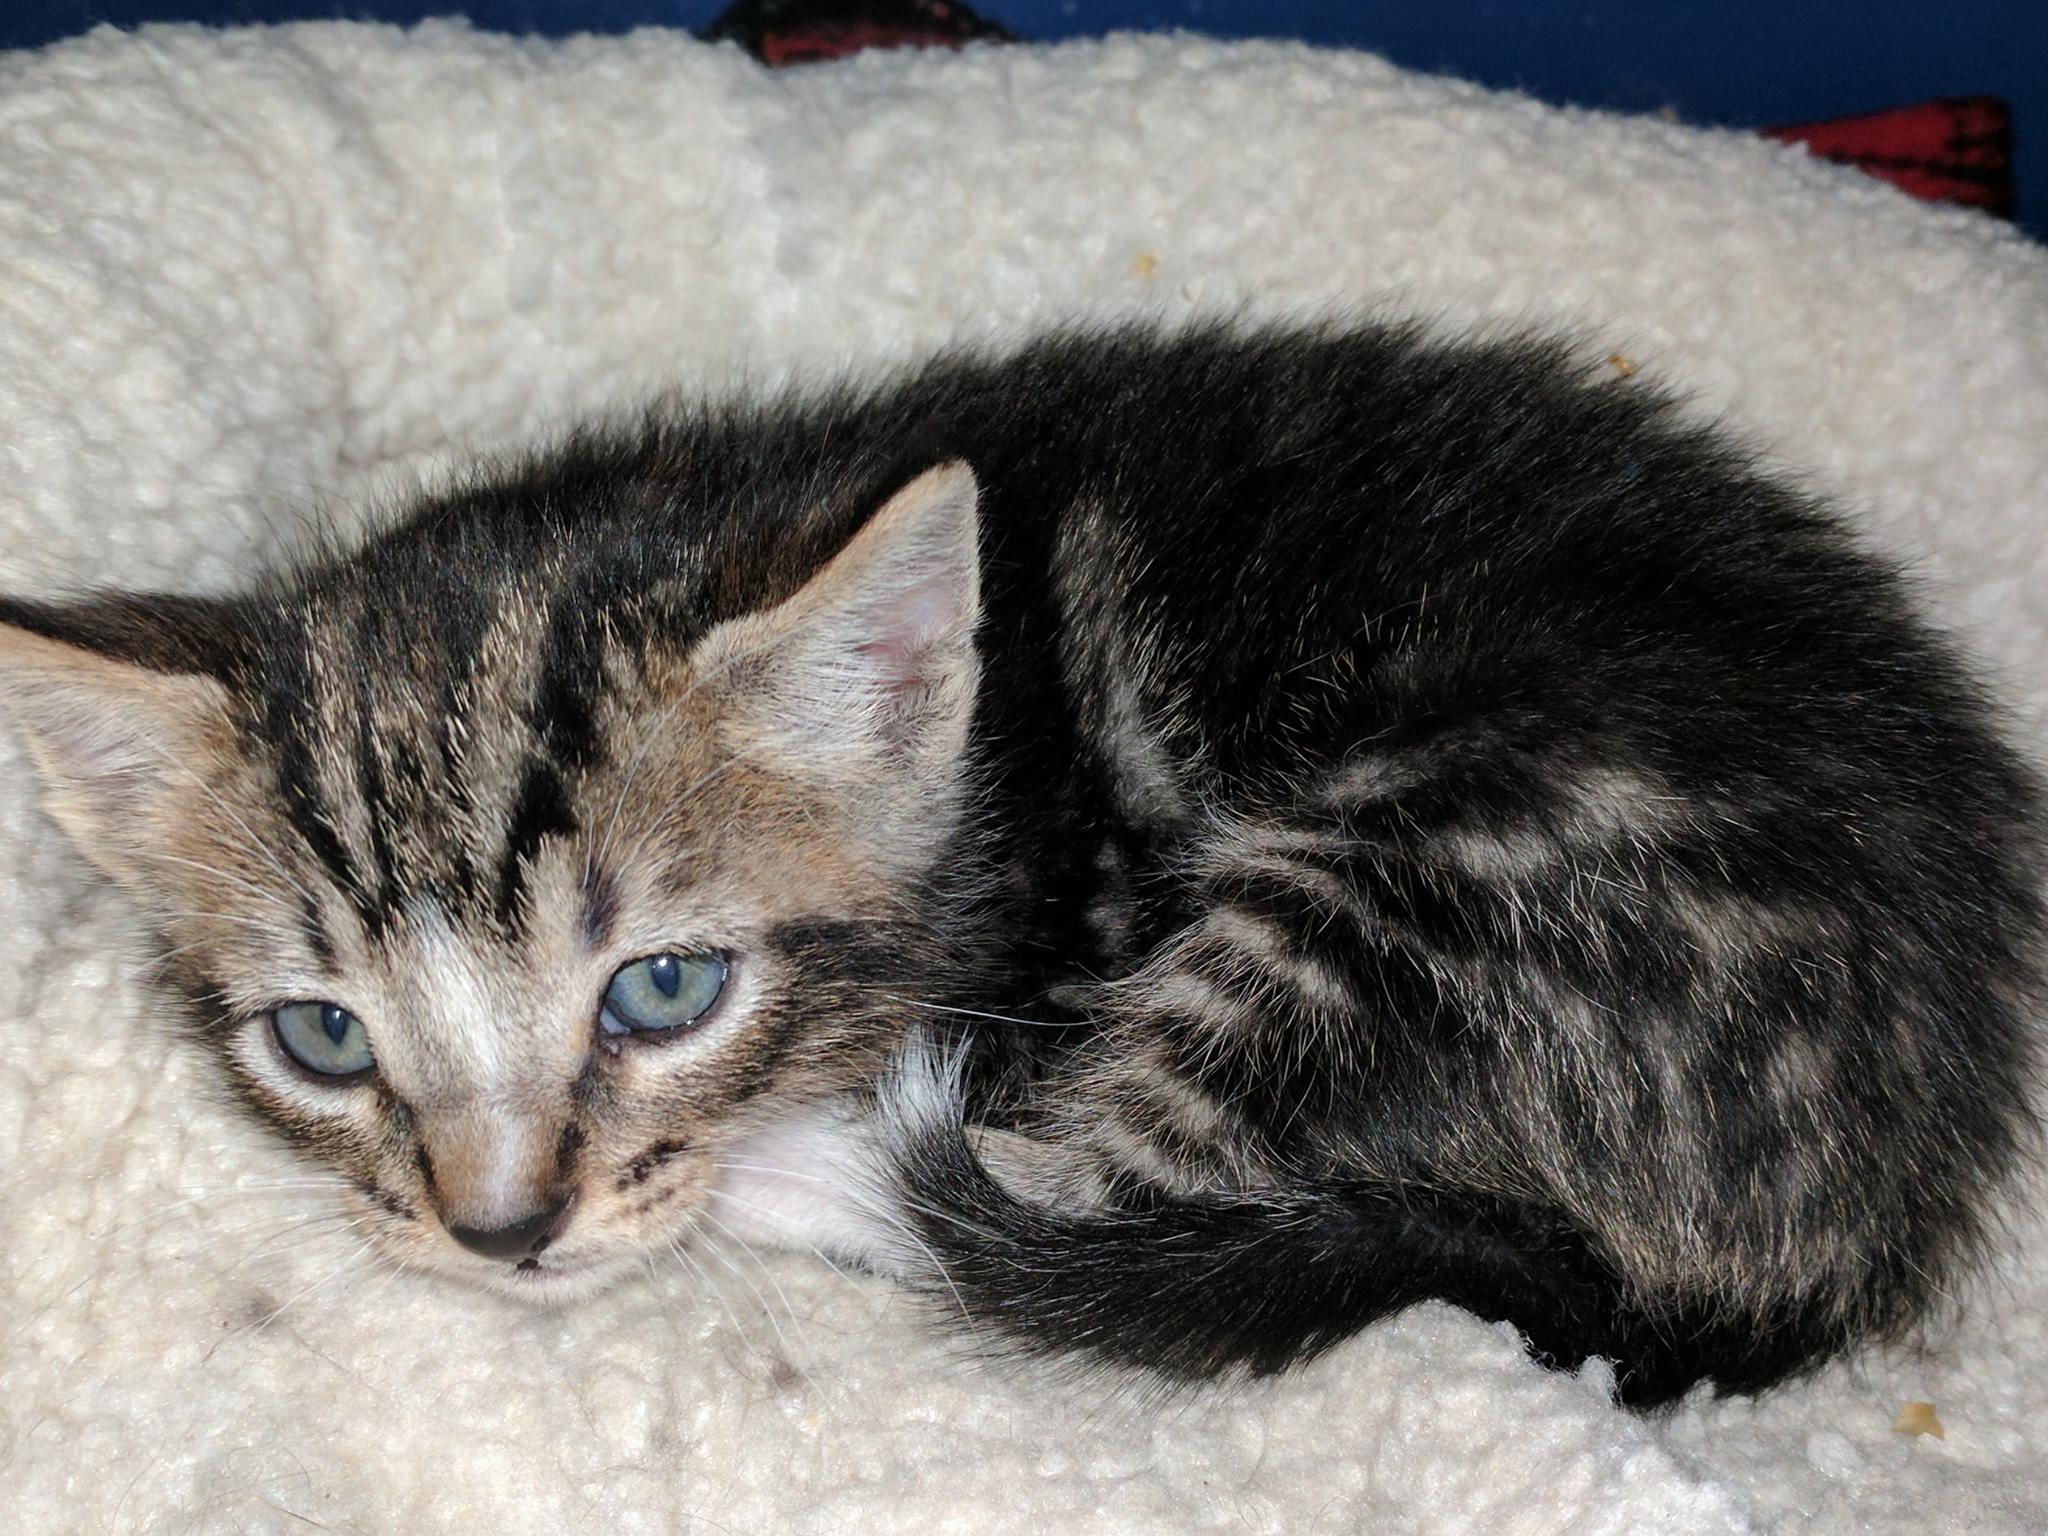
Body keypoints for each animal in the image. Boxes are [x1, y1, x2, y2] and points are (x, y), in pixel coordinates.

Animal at [0, 321, 2040, 1408]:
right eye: (324, 1039)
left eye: (667, 989)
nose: (502, 1233)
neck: (984, 764)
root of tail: (1902, 1178)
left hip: (1435, 869)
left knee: (1074, 1193)